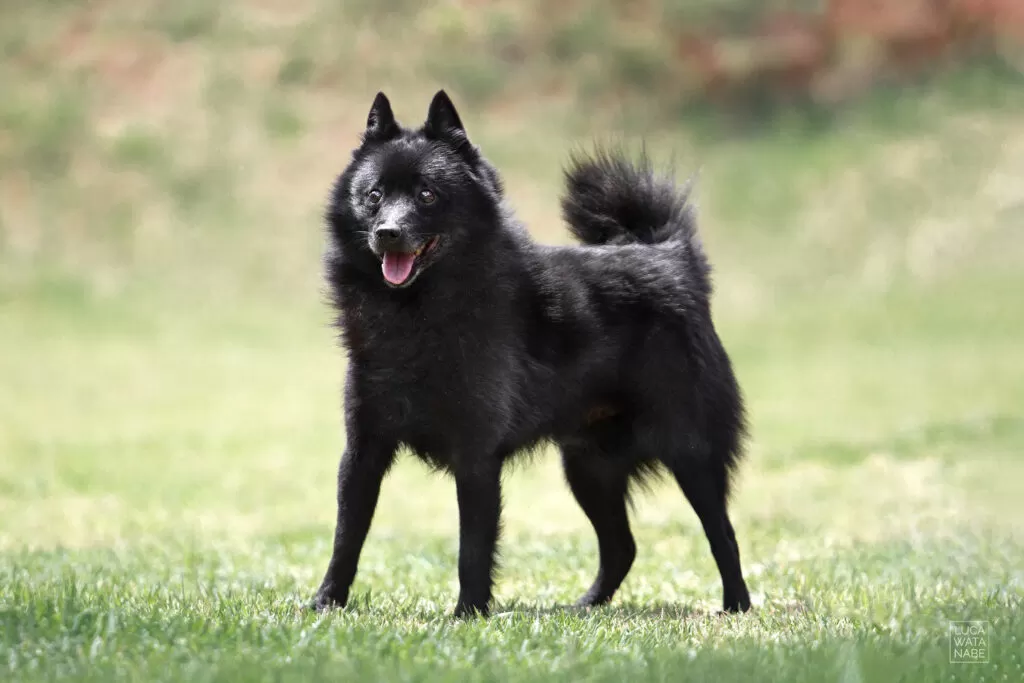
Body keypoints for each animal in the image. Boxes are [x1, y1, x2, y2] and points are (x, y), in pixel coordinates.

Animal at [311, 90, 753, 618]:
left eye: (427, 195)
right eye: (375, 195)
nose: (388, 233)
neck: (415, 314)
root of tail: (669, 255)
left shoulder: (476, 455)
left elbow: (473, 547)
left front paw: (469, 614)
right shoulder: (363, 450)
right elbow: (345, 537)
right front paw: (324, 603)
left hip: (690, 451)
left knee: (722, 532)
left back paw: (736, 607)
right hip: (587, 467)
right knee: (622, 546)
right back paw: (584, 607)